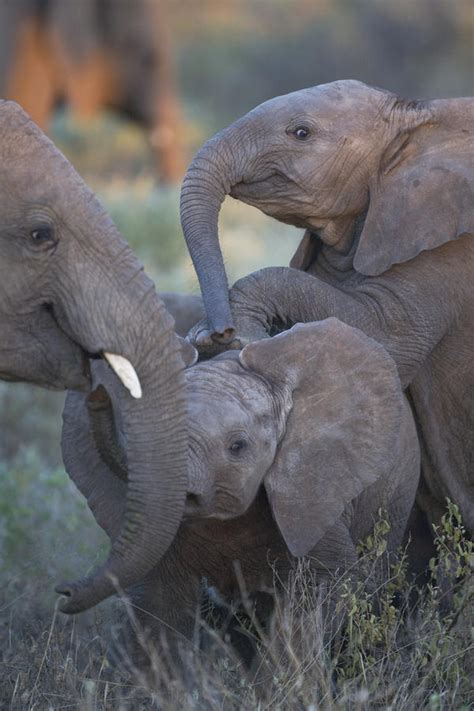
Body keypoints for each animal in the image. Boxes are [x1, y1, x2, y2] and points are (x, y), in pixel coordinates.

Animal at [181, 79, 474, 536]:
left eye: (300, 133)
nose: (219, 331)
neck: (416, 119)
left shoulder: (448, 238)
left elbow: (381, 335)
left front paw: (242, 337)